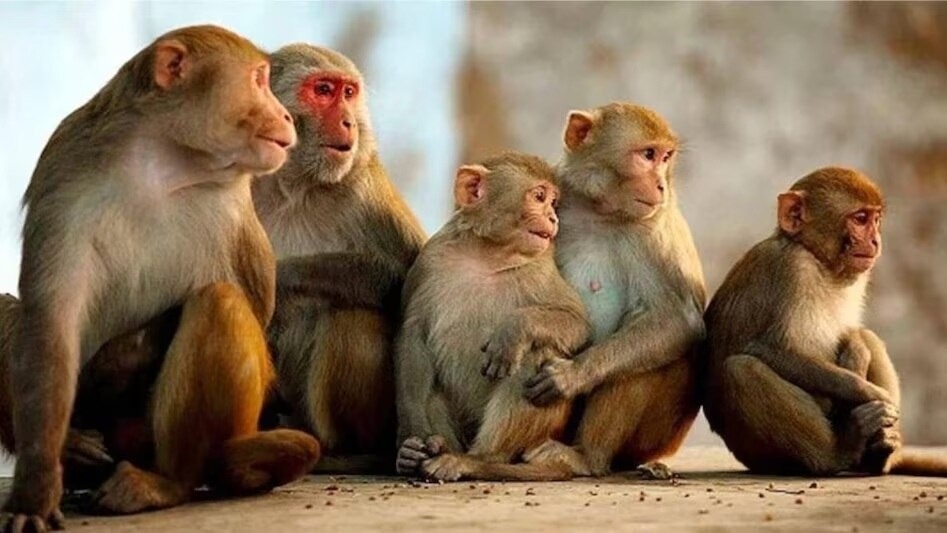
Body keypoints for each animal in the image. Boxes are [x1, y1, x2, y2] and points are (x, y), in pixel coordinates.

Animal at [0, 25, 322, 532]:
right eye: (258, 80)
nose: (286, 114)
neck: (163, 162)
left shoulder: (233, 205)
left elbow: (252, 304)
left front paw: (113, 363)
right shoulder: (65, 174)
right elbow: (51, 322)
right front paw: (34, 493)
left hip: (155, 438)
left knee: (218, 302)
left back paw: (169, 482)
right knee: (6, 309)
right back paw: (75, 450)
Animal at [252, 44, 426, 473]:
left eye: (349, 93)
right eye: (323, 90)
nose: (348, 121)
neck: (293, 185)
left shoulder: (363, 185)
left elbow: (408, 276)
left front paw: (280, 279)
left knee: (352, 314)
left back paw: (345, 453)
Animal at [394, 152, 591, 482]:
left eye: (553, 202)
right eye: (540, 197)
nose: (554, 218)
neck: (487, 256)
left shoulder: (541, 269)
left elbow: (577, 323)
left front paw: (513, 331)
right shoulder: (429, 261)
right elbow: (413, 334)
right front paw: (413, 439)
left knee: (536, 353)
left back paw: (477, 460)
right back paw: (429, 451)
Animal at [522, 103, 706, 479]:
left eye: (666, 157)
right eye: (648, 155)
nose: (661, 185)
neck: (600, 212)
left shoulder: (654, 231)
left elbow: (678, 319)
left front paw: (572, 375)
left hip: (656, 438)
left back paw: (587, 457)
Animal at [701, 166, 947, 477]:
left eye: (876, 219)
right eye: (860, 219)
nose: (876, 241)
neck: (818, 260)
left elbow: (854, 334)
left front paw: (856, 350)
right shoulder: (793, 268)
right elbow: (772, 349)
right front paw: (868, 392)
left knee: (871, 338)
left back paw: (880, 453)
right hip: (757, 453)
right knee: (741, 369)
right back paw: (839, 451)